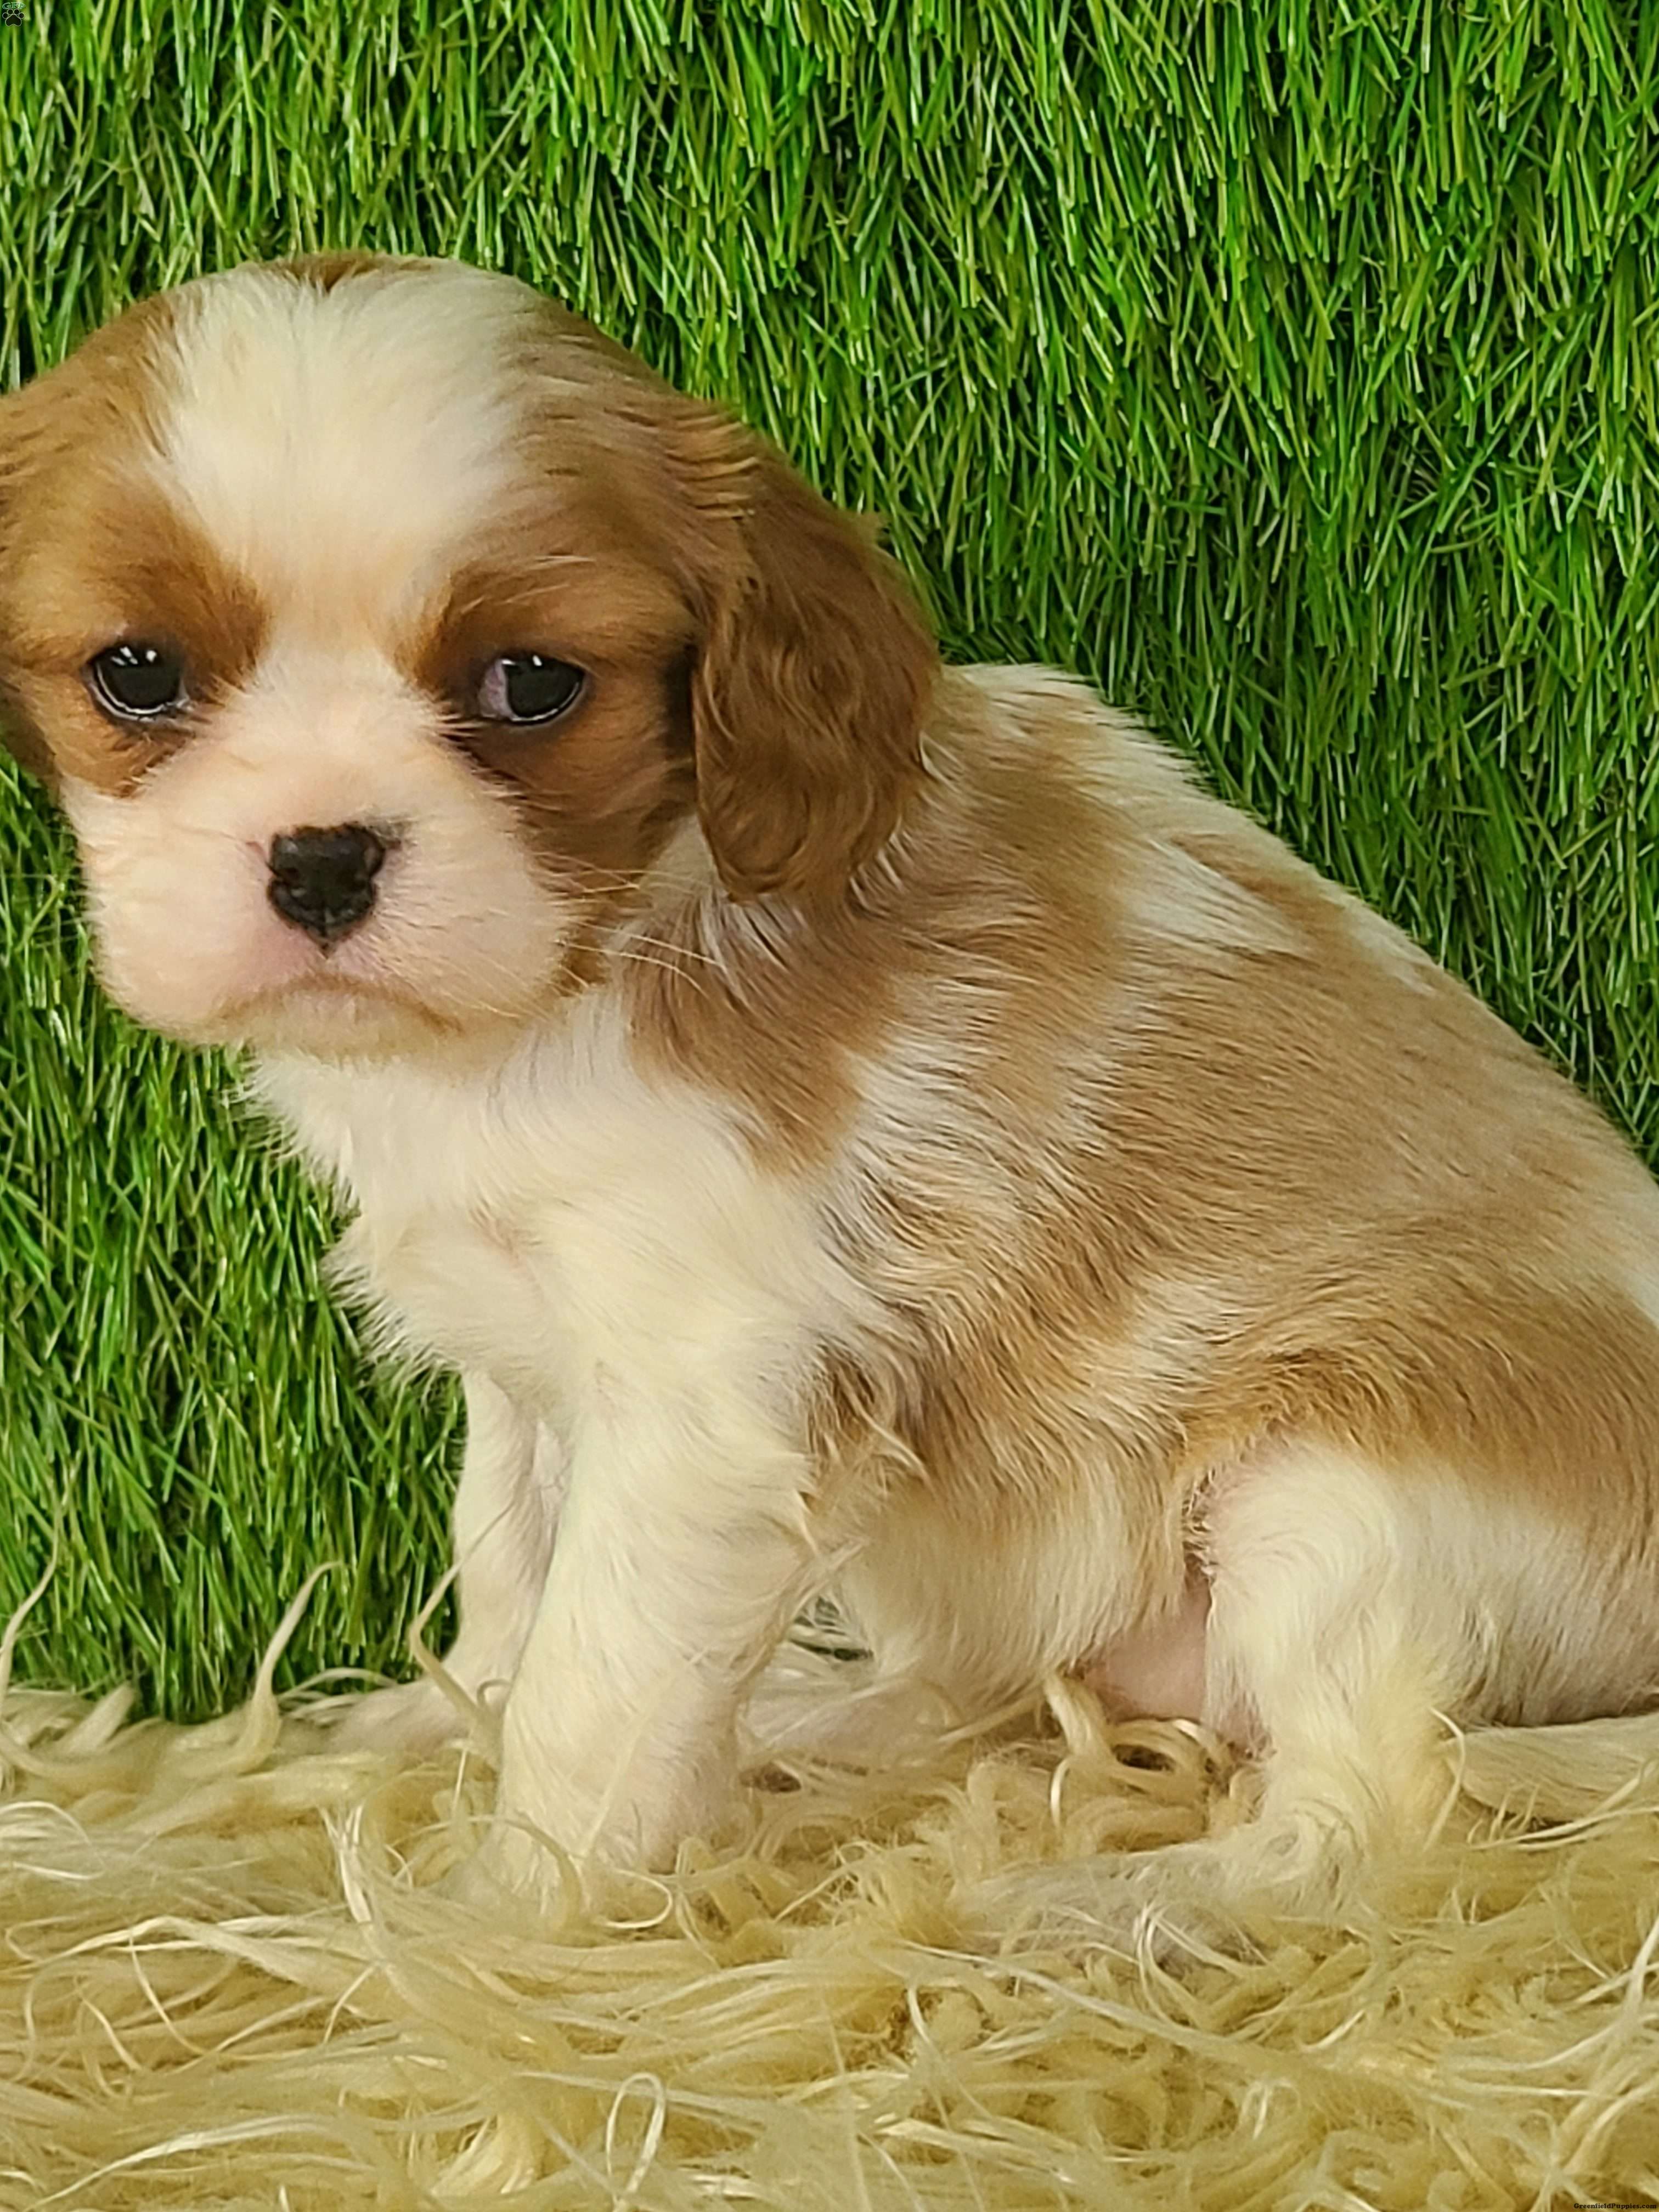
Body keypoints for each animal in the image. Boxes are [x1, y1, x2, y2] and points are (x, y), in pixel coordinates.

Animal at [4, 252, 1659, 1937]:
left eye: (532, 684)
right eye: (137, 673)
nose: (324, 857)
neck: (562, 984)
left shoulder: (705, 1401)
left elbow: (591, 1689)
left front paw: (501, 1922)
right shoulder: (526, 1360)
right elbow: (509, 1559)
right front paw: (441, 1717)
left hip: (1338, 1492)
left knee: (1373, 1812)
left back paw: (1089, 1907)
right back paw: (817, 1724)